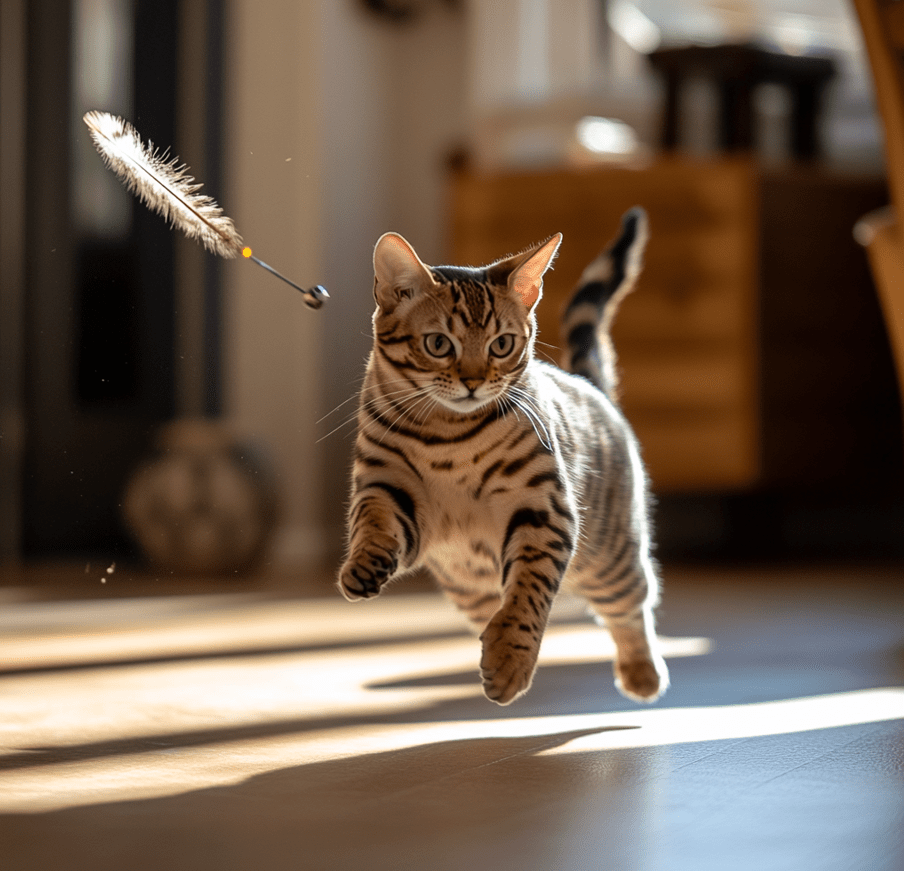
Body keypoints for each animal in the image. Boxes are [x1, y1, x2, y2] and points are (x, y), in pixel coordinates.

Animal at [340, 211, 672, 708]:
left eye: (502, 344)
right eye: (439, 344)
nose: (474, 380)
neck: (448, 438)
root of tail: (588, 383)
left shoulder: (543, 509)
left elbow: (528, 594)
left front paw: (511, 660)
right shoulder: (388, 487)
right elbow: (374, 524)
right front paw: (363, 564)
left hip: (610, 561)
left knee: (633, 606)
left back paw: (642, 674)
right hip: (466, 585)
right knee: (493, 606)